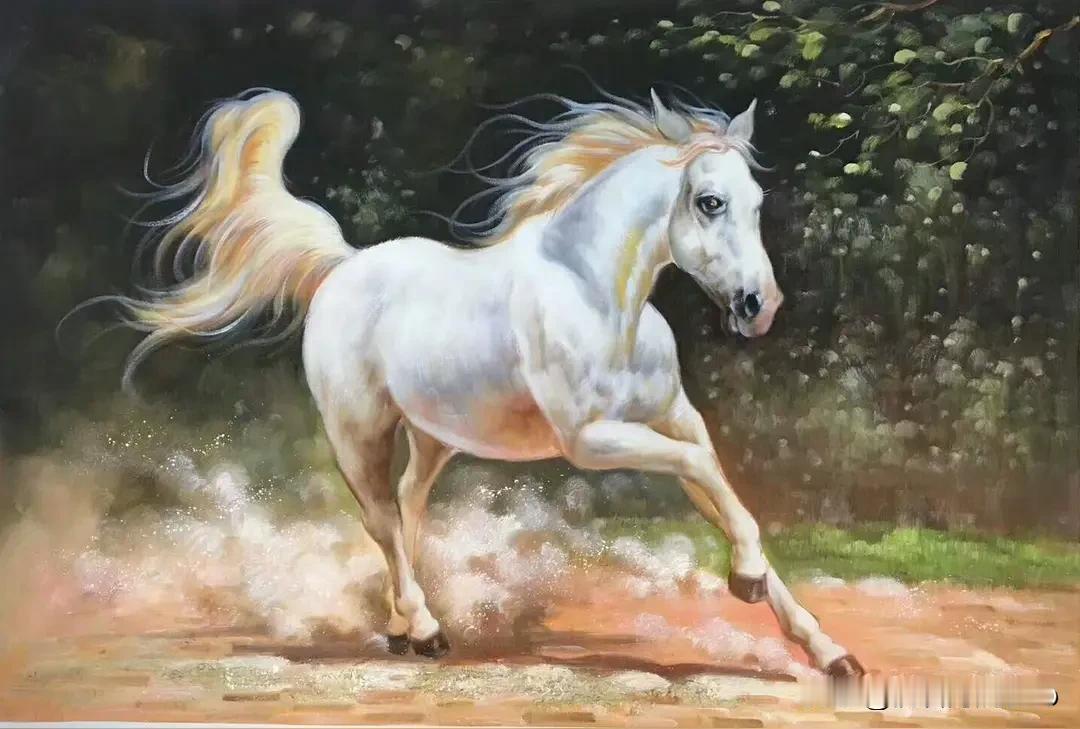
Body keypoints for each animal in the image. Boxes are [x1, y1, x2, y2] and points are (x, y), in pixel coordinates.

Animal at [111, 88, 864, 677]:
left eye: (756, 202)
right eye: (709, 202)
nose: (759, 306)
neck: (596, 297)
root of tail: (343, 266)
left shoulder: (676, 418)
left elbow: (720, 486)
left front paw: (827, 651)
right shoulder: (591, 440)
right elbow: (705, 471)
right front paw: (748, 579)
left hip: (434, 436)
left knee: (407, 508)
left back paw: (401, 628)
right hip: (358, 432)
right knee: (381, 518)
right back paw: (424, 630)